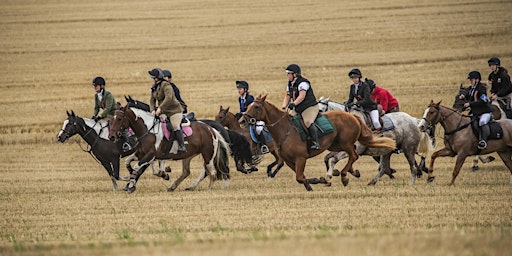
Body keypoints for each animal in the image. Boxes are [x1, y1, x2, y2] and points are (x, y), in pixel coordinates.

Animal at [239, 94, 396, 190]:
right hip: (336, 144)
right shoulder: (289, 161)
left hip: (345, 143)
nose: (242, 121)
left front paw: (316, 184)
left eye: (256, 107)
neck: (284, 130)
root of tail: (353, 116)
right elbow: (301, 177)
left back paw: (344, 176)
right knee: (348, 157)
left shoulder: (301, 158)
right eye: (249, 106)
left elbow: (300, 177)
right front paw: (322, 180)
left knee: (353, 156)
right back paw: (351, 172)